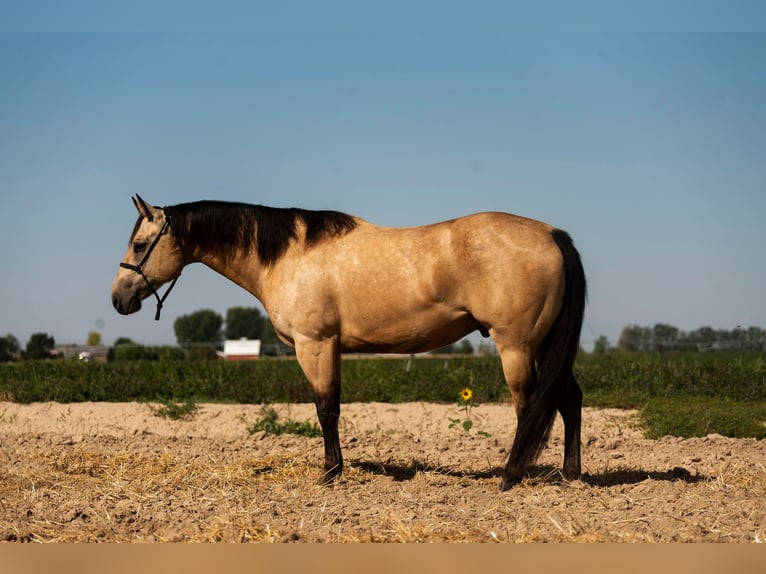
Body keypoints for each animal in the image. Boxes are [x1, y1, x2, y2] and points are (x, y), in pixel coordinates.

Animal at [111, 197, 588, 490]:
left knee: (529, 407)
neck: (288, 255)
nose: (118, 299)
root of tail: (552, 234)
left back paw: (511, 476)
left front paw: (329, 473)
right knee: (569, 400)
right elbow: (333, 408)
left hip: (517, 347)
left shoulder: (315, 345)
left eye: (139, 244)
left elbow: (325, 409)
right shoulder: (331, 348)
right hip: (544, 345)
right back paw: (572, 473)